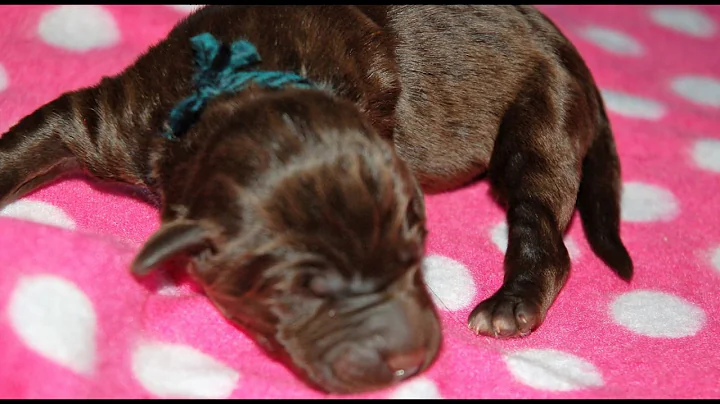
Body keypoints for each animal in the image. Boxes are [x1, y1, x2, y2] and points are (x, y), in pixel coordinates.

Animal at [0, 3, 632, 394]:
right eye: (300, 292)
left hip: (541, 114)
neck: (247, 86)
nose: (412, 360)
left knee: (543, 227)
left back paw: (510, 304)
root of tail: (561, 41)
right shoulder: (111, 119)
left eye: (415, 256)